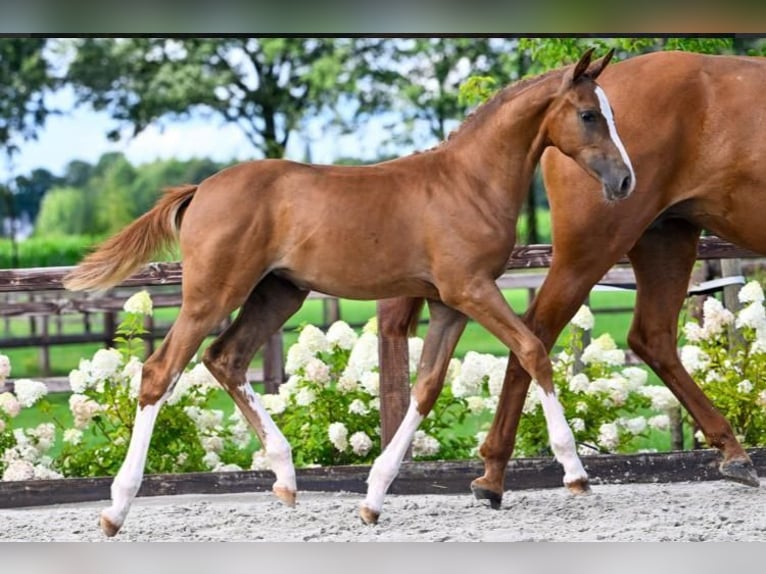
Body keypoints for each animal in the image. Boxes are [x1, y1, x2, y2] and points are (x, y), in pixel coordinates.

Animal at [64, 47, 636, 536]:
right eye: (590, 114)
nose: (626, 181)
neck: (468, 182)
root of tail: (200, 189)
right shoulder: (470, 290)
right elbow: (534, 349)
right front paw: (574, 471)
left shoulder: (447, 303)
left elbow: (426, 388)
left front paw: (374, 498)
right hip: (213, 294)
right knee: (161, 372)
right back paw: (116, 509)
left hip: (278, 294)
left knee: (225, 360)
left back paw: (285, 479)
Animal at [384, 48, 766, 508]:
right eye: (589, 117)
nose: (623, 177)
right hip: (596, 247)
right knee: (537, 332)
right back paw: (499, 473)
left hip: (666, 240)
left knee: (650, 337)